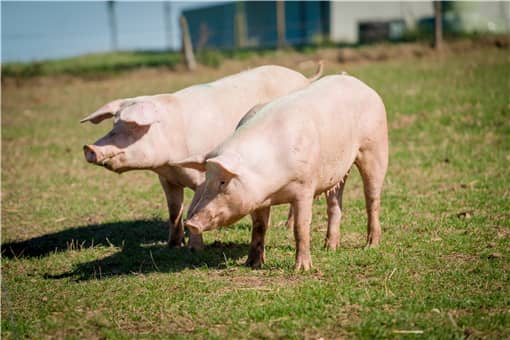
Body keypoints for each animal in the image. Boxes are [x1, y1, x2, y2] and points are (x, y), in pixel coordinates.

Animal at [81, 63, 324, 250]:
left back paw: (286, 226)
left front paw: (194, 249)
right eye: (114, 124)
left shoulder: (202, 177)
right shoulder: (166, 179)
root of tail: (304, 77)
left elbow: (191, 208)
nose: (89, 148)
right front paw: (172, 245)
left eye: (132, 127)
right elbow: (174, 211)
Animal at [174, 74, 386, 270]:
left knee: (372, 197)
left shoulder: (305, 186)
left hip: (375, 146)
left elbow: (301, 227)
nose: (191, 223)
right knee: (334, 202)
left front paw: (302, 269)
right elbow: (259, 227)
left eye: (223, 182)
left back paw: (371, 245)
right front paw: (252, 264)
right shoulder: (257, 198)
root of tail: (358, 83)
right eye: (207, 179)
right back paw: (330, 248)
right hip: (338, 170)